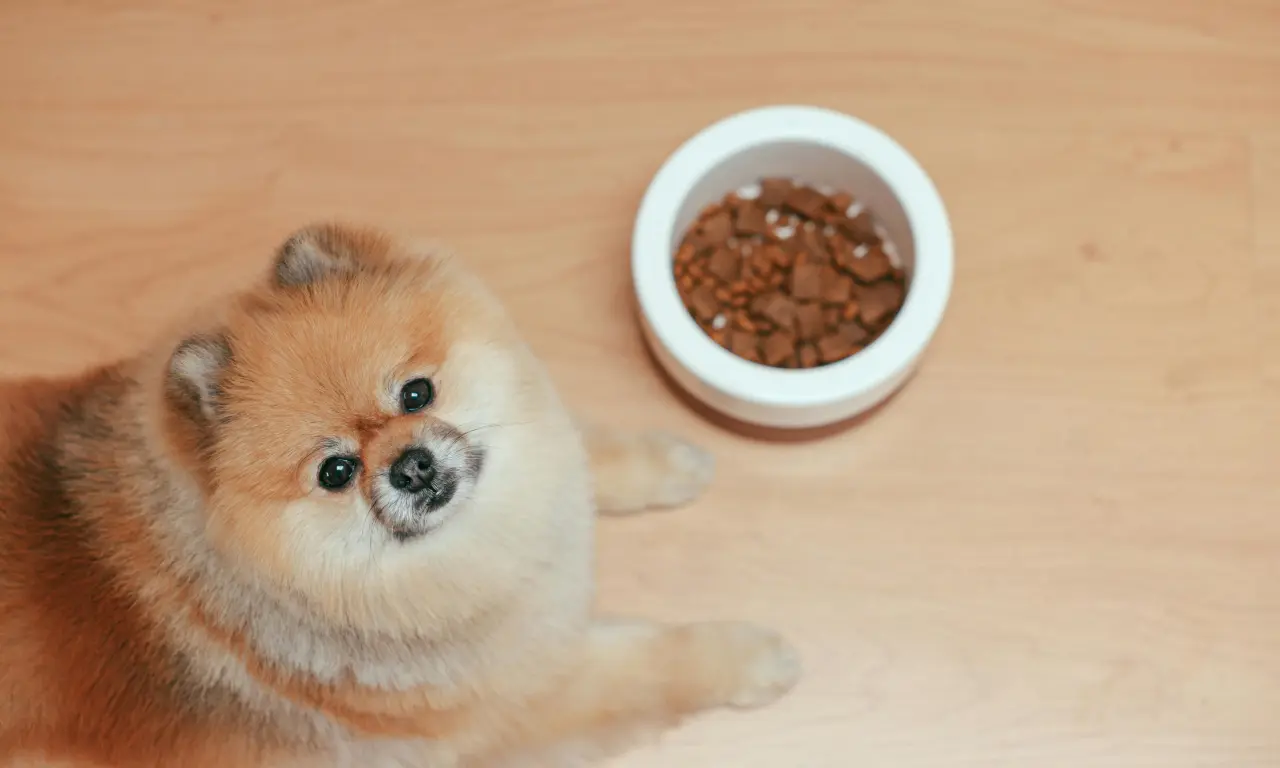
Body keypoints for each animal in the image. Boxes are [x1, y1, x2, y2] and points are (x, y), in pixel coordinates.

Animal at [0, 224, 798, 768]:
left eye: (416, 393)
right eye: (334, 472)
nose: (411, 466)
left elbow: (579, 451)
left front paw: (668, 461)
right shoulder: (523, 703)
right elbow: (656, 662)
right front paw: (756, 657)